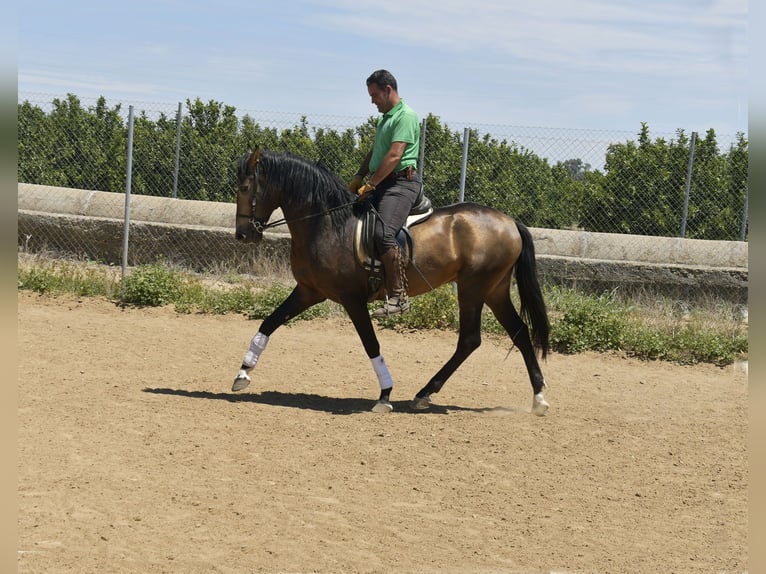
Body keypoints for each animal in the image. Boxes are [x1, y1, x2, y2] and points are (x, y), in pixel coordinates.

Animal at [232, 147, 552, 418]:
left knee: (470, 339)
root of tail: (510, 222)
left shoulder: (352, 299)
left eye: (245, 188)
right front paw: (243, 373)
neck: (328, 224)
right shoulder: (309, 291)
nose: (243, 235)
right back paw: (537, 398)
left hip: (474, 288)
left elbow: (371, 344)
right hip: (494, 290)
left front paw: (385, 395)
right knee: (519, 332)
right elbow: (269, 323)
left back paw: (426, 392)